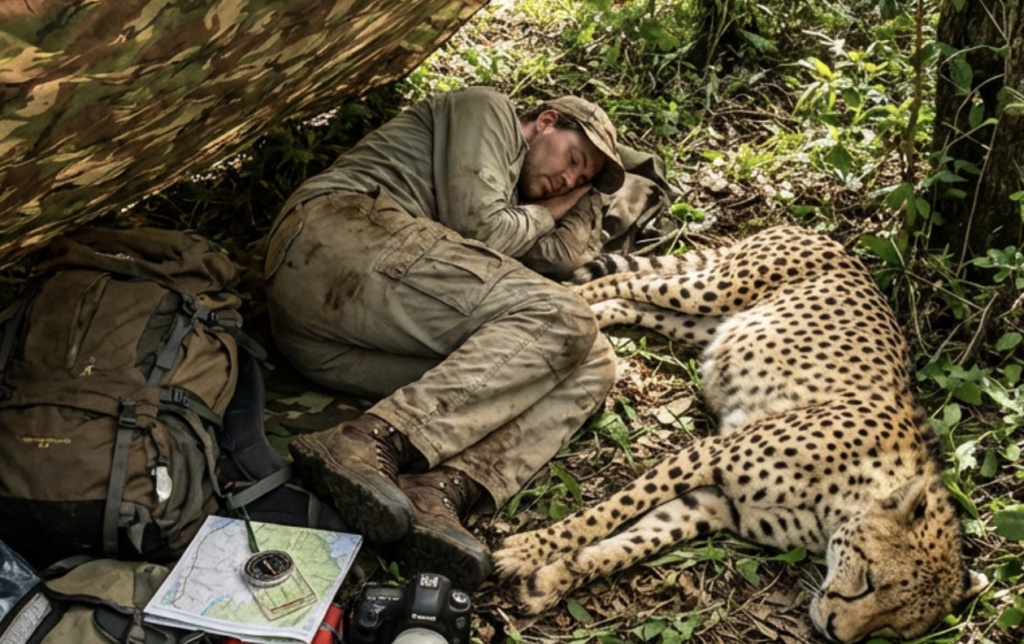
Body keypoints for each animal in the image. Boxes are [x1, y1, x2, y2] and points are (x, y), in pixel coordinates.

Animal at [492, 226, 986, 643]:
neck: (848, 497)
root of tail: (827, 236)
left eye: (891, 630)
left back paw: (597, 315)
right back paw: (575, 297)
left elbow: (629, 543)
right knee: (633, 281)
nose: (834, 632)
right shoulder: (708, 453)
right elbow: (607, 513)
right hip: (713, 291)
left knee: (638, 304)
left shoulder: (713, 505)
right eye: (869, 582)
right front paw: (527, 551)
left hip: (708, 324)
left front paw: (548, 581)